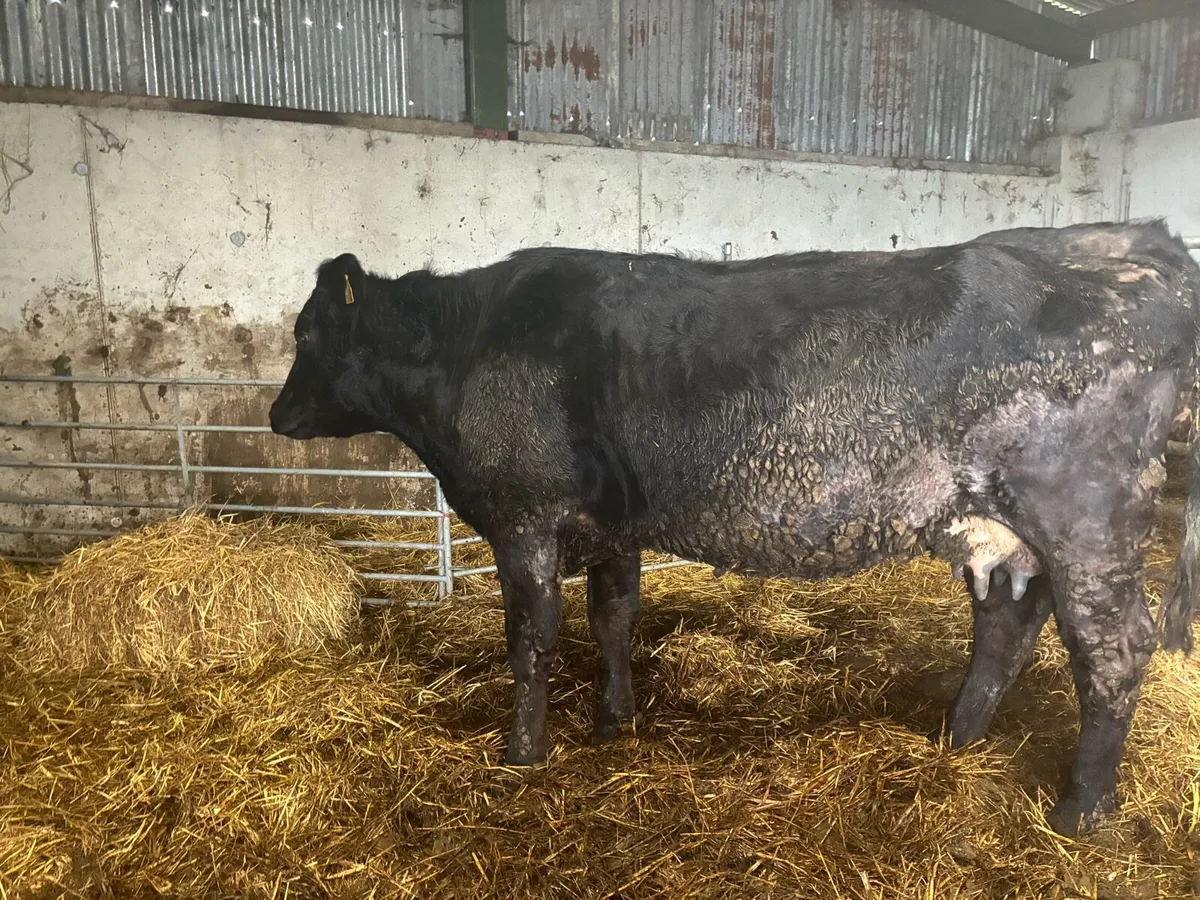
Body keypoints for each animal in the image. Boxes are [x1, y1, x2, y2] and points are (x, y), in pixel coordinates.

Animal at [269, 219, 1200, 838]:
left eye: (307, 332)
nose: (276, 415)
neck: (468, 350)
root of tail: (1135, 244)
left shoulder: (522, 516)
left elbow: (530, 638)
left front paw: (523, 749)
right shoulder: (614, 523)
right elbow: (614, 617)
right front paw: (616, 718)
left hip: (1086, 520)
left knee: (1114, 648)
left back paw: (1080, 809)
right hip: (999, 528)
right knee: (1007, 622)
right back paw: (958, 737)